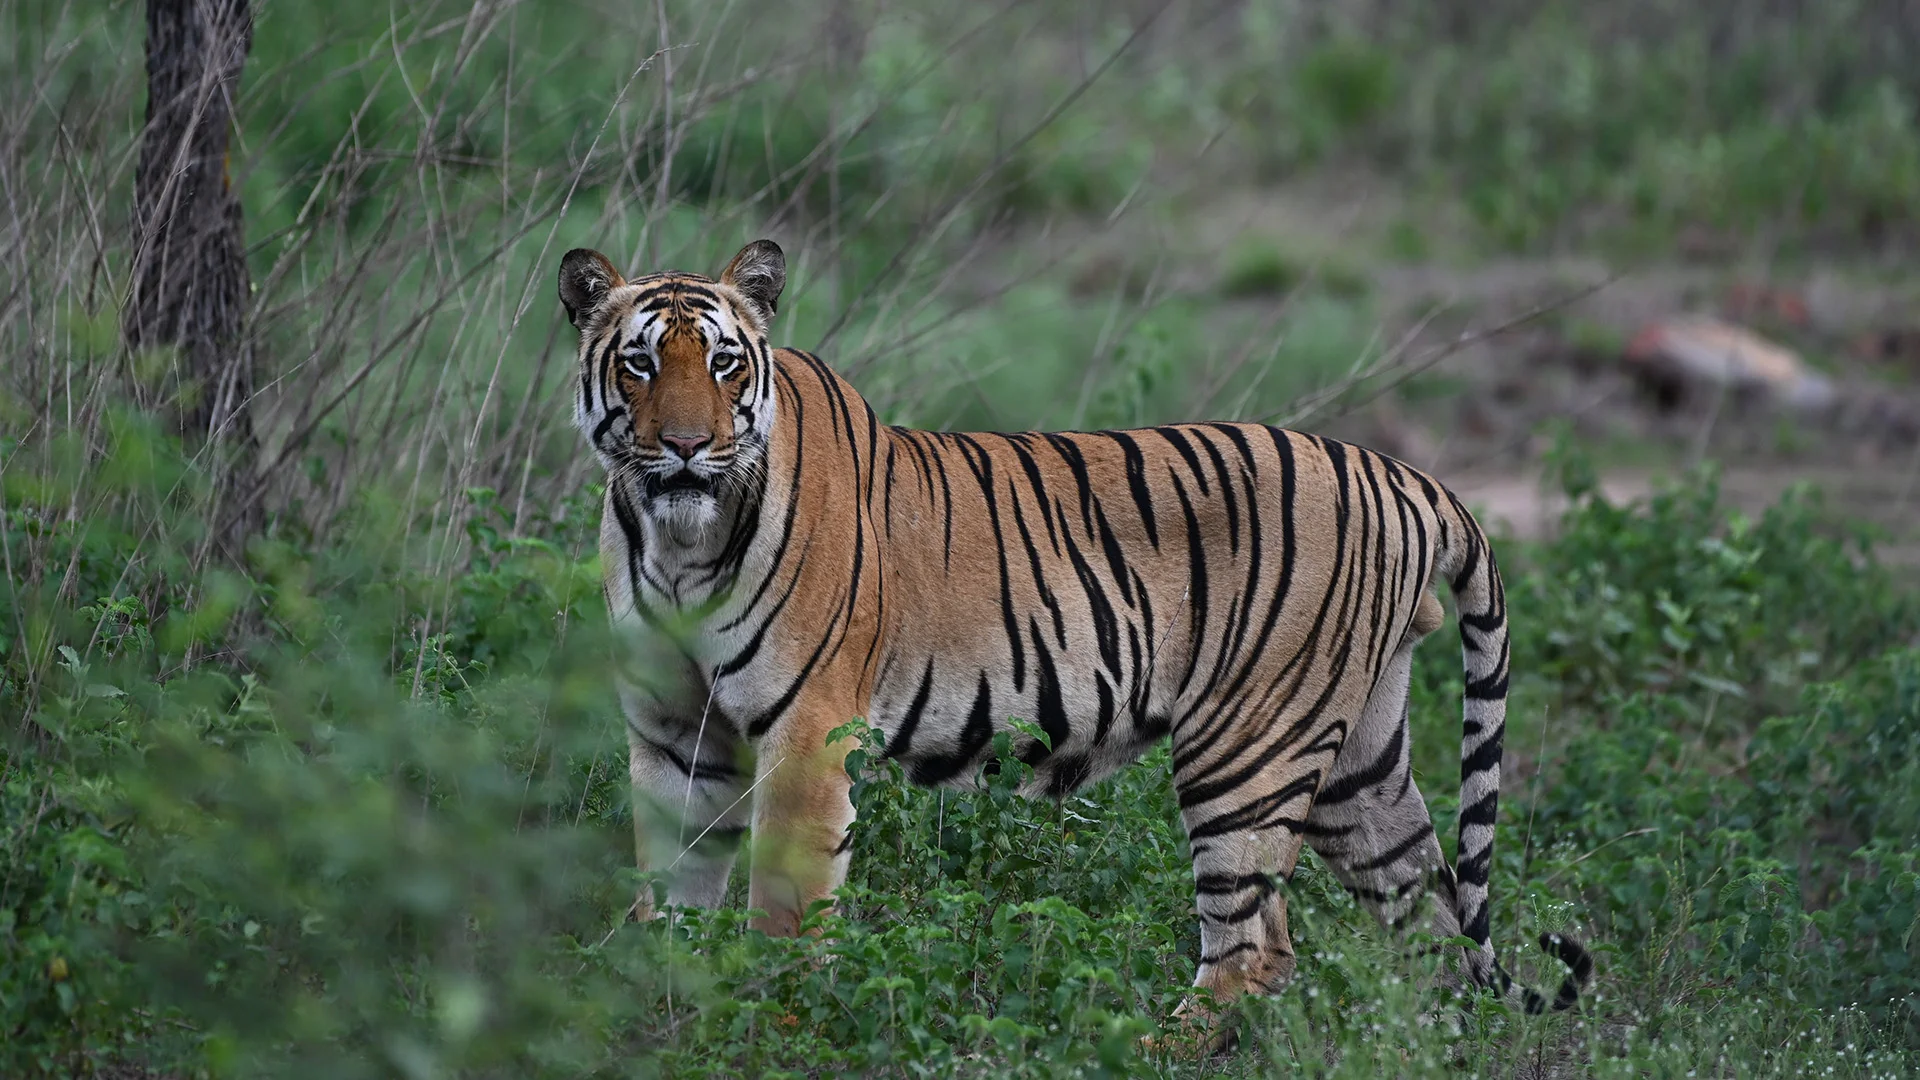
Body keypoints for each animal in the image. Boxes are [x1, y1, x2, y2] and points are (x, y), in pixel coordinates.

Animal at [558, 239, 1592, 1047]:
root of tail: (1405, 475)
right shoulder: (674, 737)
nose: (685, 447)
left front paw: (772, 1030)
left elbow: (783, 912)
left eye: (725, 364)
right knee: (1432, 919)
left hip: (1248, 749)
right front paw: (660, 1008)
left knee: (1256, 949)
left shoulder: (808, 734)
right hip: (1359, 767)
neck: (681, 543)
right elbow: (667, 893)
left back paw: (1143, 1046)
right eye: (641, 365)